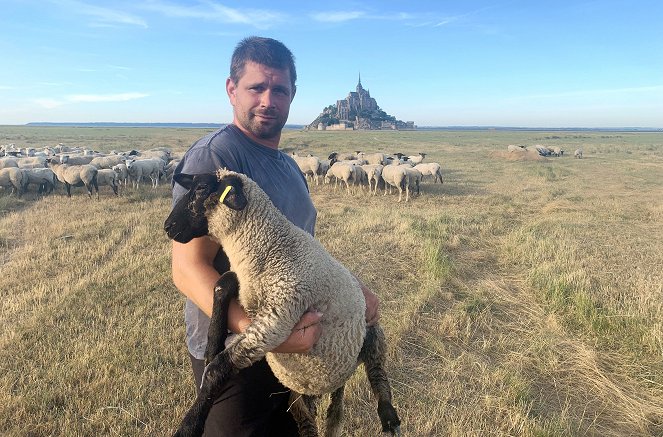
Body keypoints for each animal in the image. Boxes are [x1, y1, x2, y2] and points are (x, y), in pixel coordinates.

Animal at [163, 169, 402, 436]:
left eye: (202, 189)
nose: (168, 227)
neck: (269, 248)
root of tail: (340, 379)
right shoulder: (246, 289)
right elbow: (222, 283)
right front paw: (212, 344)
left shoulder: (276, 319)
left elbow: (216, 369)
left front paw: (189, 425)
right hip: (302, 391)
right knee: (307, 416)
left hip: (372, 333)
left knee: (377, 372)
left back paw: (389, 417)